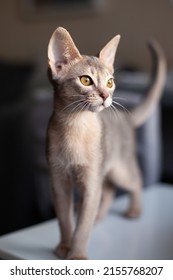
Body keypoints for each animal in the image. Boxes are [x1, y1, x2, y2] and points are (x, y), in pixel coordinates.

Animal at [46, 27, 166, 260]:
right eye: (85, 80)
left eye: (110, 82)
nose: (105, 96)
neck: (75, 126)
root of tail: (126, 117)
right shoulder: (58, 181)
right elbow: (65, 219)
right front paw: (64, 247)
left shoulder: (91, 181)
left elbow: (82, 225)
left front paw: (76, 255)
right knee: (109, 190)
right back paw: (99, 217)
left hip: (120, 169)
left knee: (136, 180)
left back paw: (134, 211)